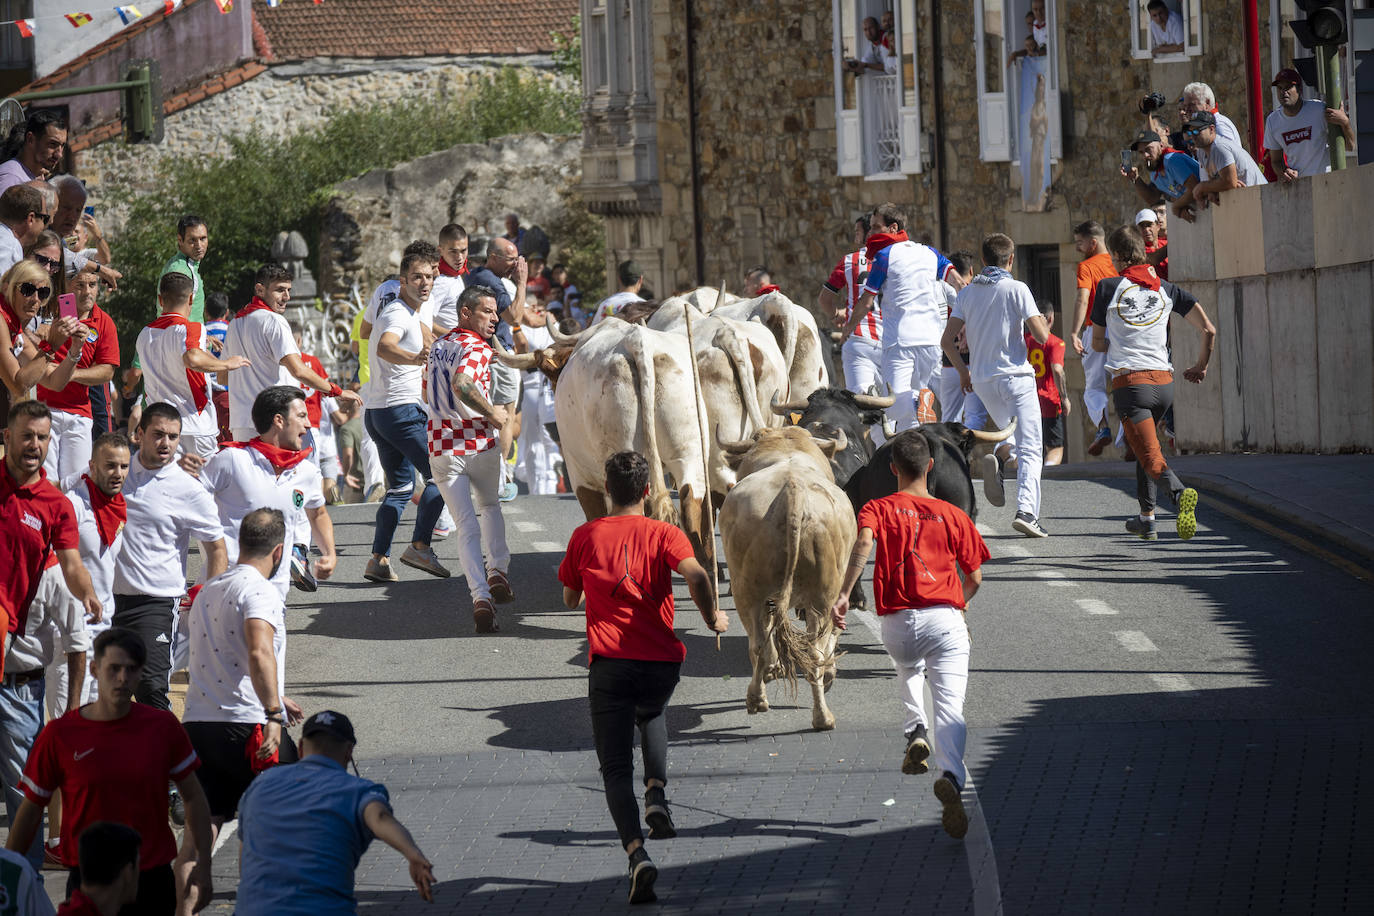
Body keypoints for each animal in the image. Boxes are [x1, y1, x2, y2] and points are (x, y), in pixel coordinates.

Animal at [714, 425, 851, 730]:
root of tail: (793, 488)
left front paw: (772, 670)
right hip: (822, 596)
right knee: (813, 651)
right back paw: (822, 716)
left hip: (748, 591)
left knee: (758, 643)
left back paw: (758, 698)